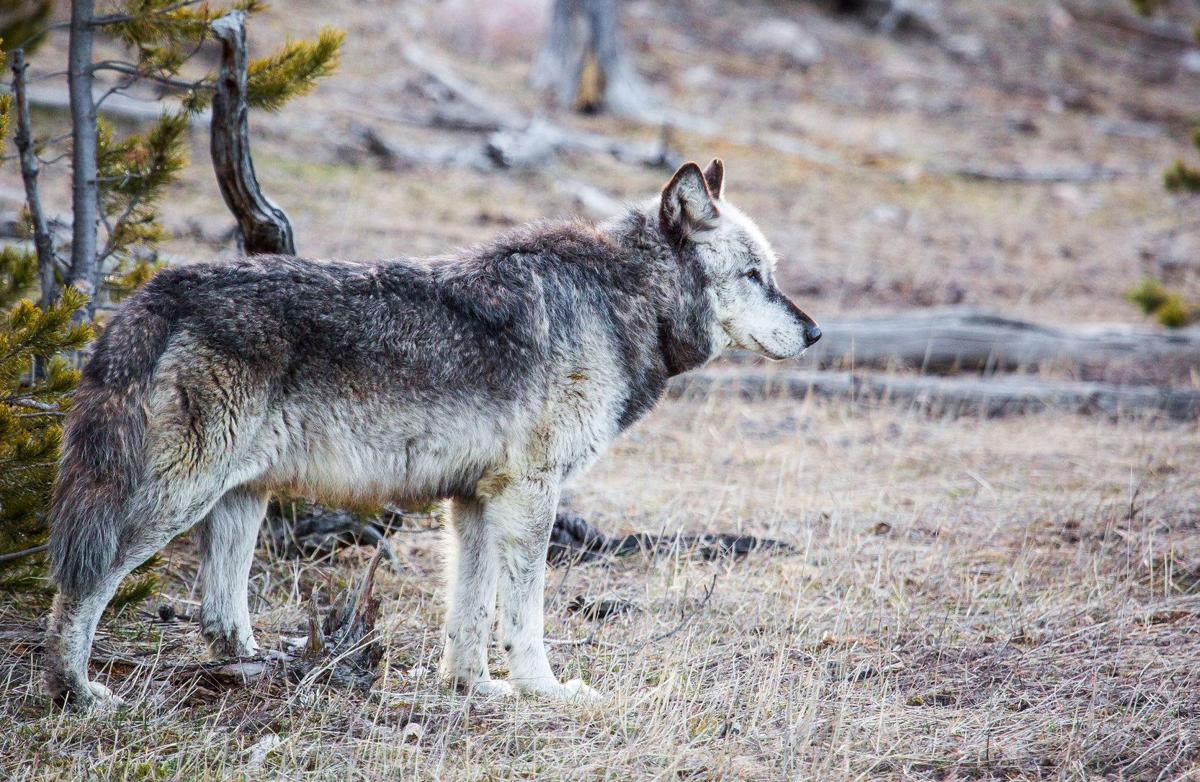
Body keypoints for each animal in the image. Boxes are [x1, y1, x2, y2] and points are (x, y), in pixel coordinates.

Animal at [42, 155, 820, 705]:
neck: (620, 300)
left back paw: (264, 670)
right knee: (82, 584)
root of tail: (154, 293)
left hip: (240, 502)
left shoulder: (473, 500)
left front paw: (473, 689)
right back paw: (76, 692)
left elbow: (468, 614)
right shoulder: (530, 495)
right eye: (755, 275)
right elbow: (524, 615)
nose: (815, 333)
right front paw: (545, 691)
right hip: (176, 500)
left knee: (218, 618)